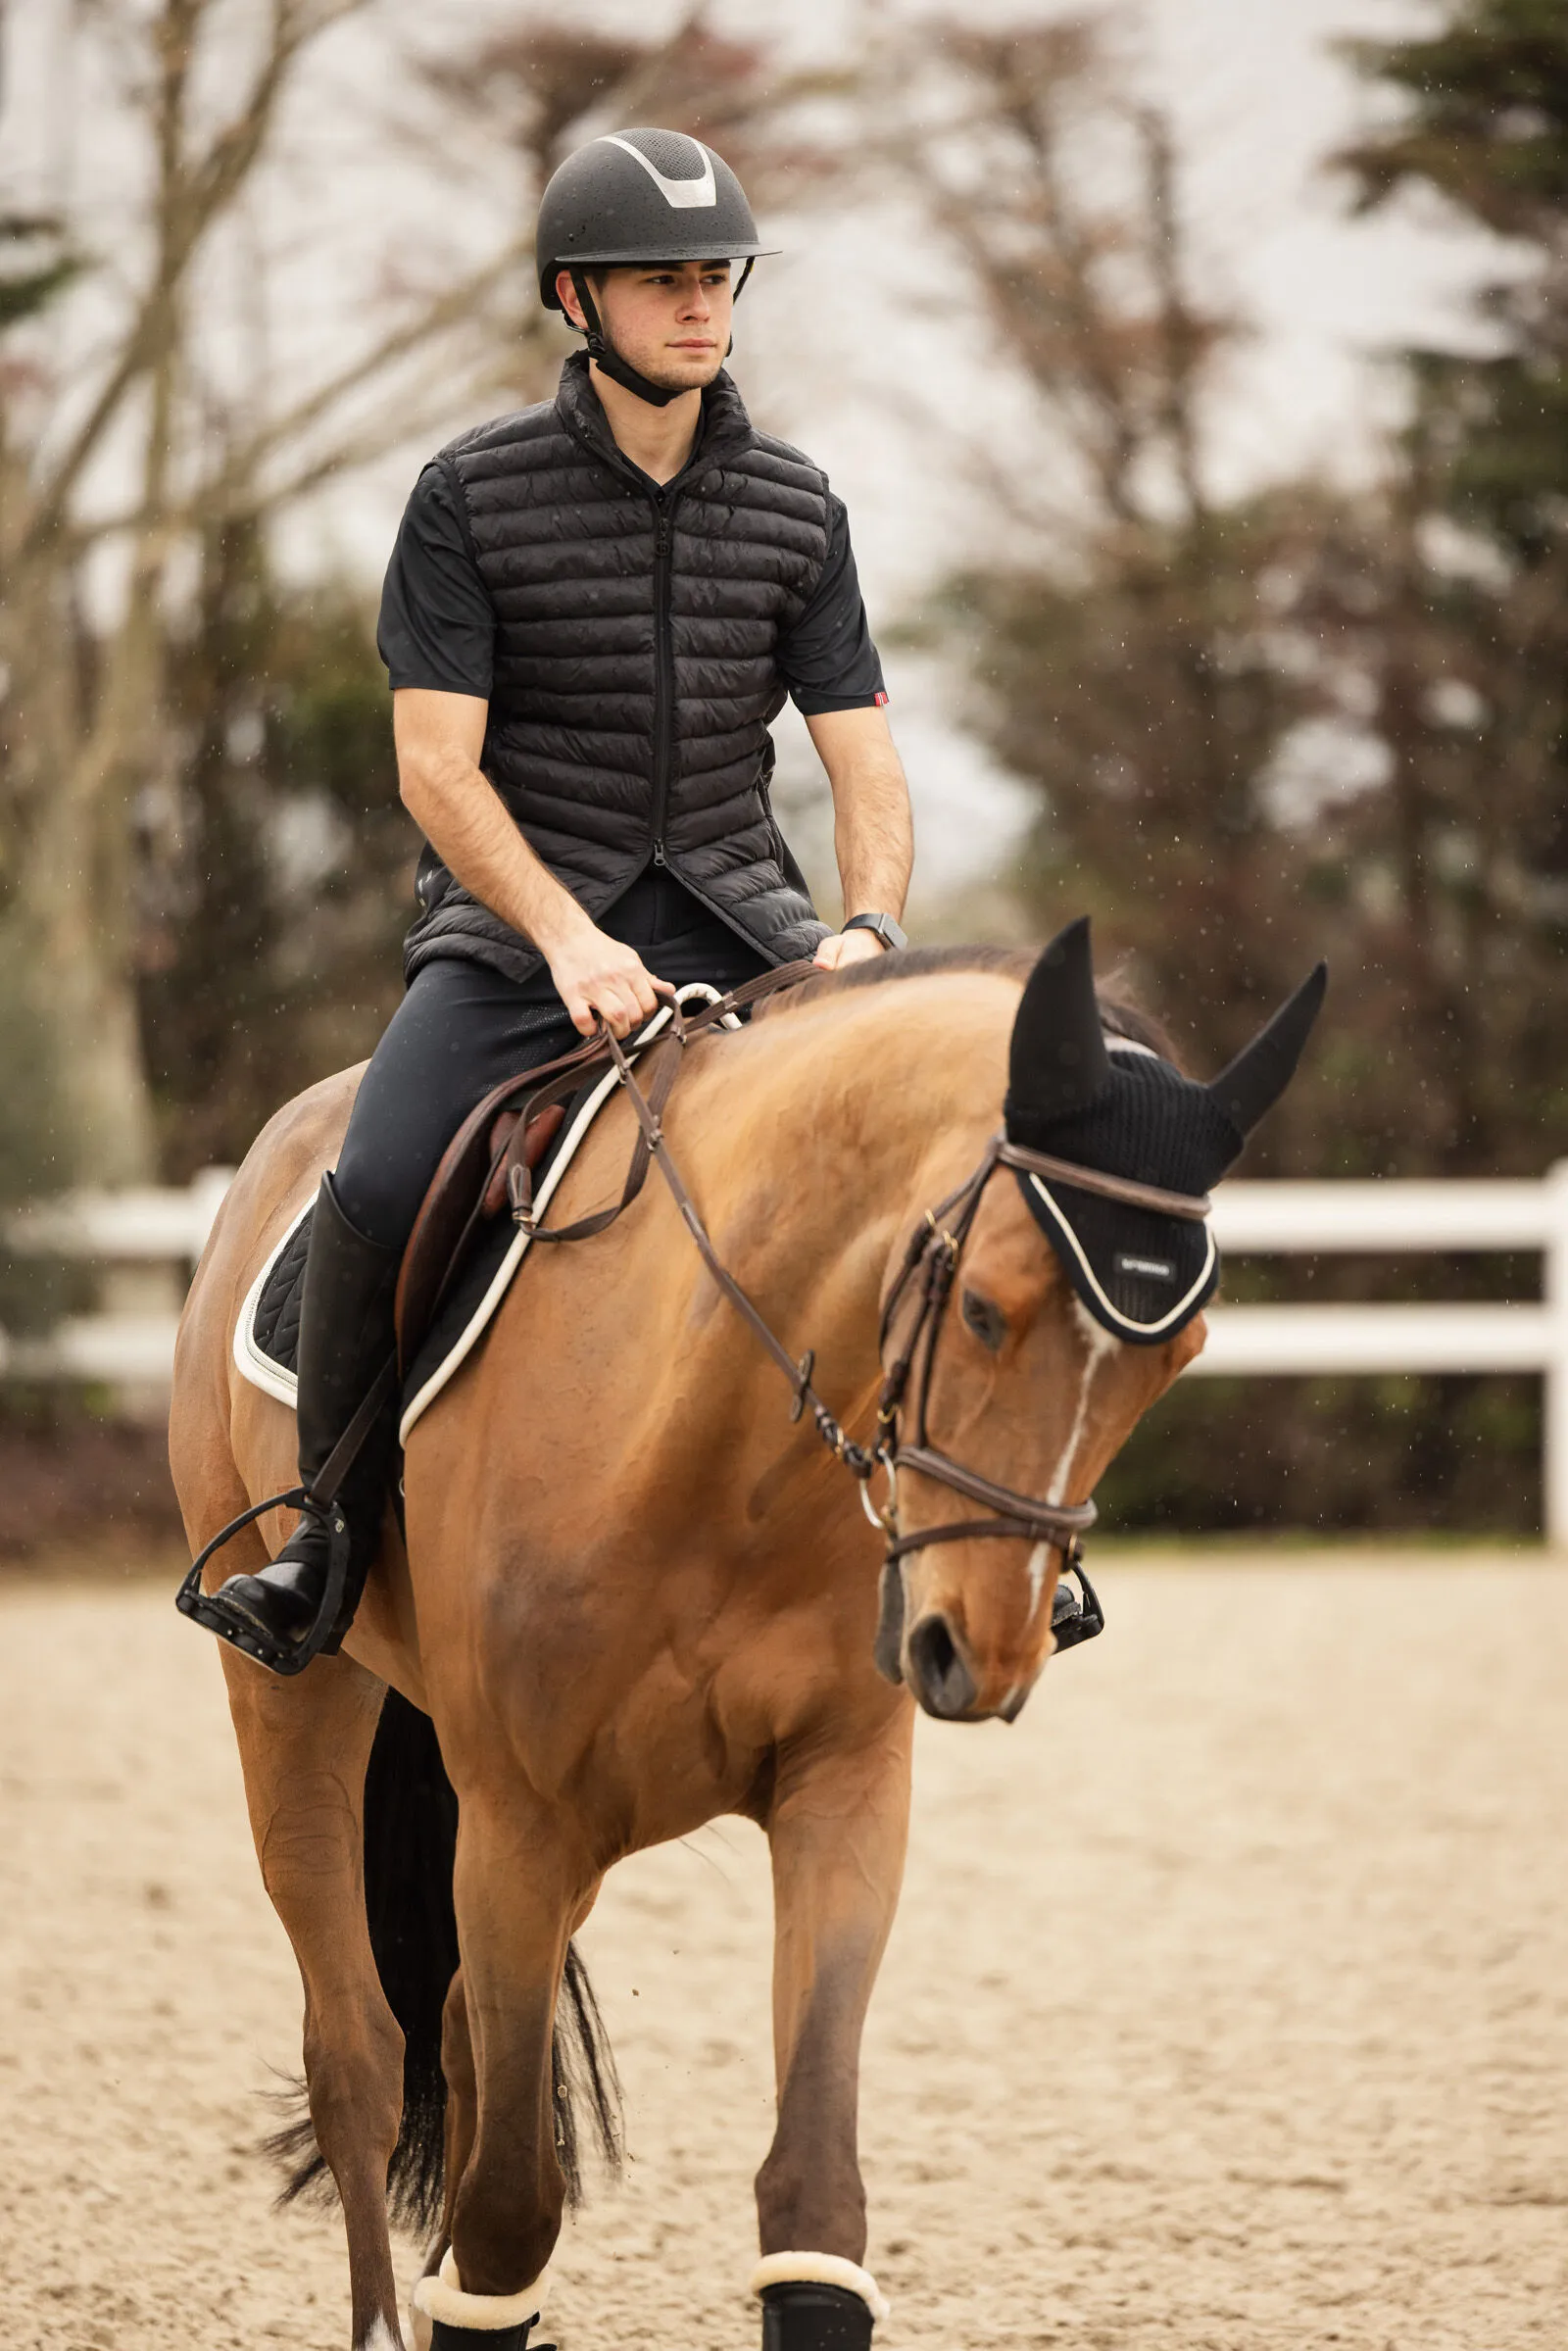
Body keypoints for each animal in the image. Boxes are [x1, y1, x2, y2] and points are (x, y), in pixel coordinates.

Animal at [169, 916, 1325, 2351]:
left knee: (452, 2040)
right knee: (361, 2059)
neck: (716, 1435)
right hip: (298, 1703)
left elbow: (812, 2201)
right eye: (984, 1307)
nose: (982, 1653)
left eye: (1181, 1353)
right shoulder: (521, 1826)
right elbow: (508, 2218)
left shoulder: (838, 1794)